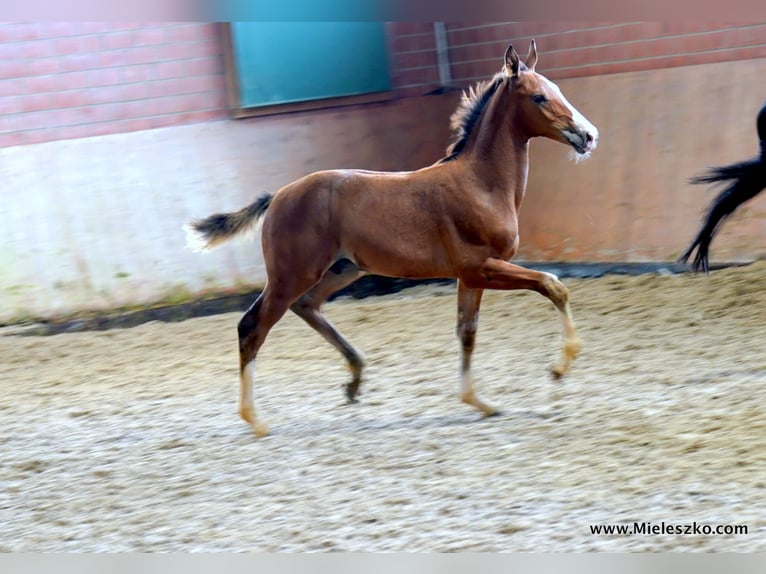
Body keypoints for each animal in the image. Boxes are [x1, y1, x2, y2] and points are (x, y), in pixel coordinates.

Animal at [186, 40, 600, 436]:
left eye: (558, 90)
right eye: (539, 97)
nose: (589, 136)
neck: (481, 184)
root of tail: (278, 196)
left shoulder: (469, 277)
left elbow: (466, 332)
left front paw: (478, 402)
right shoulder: (481, 268)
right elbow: (552, 284)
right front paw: (559, 368)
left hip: (343, 269)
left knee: (306, 307)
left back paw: (354, 379)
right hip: (291, 275)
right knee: (252, 326)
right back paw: (255, 419)